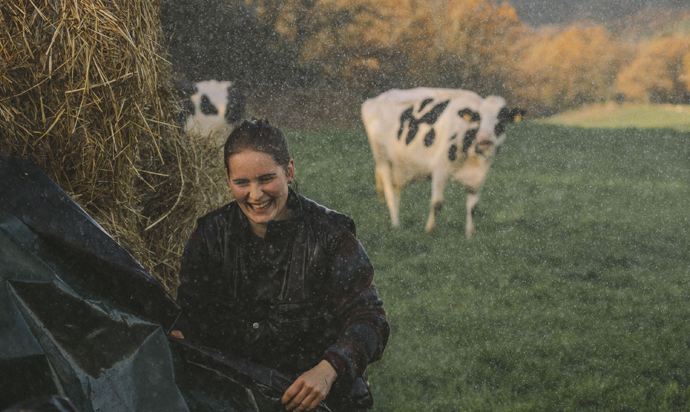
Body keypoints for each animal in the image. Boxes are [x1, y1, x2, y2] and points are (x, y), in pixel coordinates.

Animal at [360, 87, 520, 238]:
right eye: (478, 118)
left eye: (502, 119)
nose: (484, 139)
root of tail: (373, 100)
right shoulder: (440, 170)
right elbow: (437, 204)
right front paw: (429, 231)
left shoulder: (477, 178)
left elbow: (473, 208)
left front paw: (470, 234)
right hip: (382, 158)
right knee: (389, 193)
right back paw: (396, 225)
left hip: (399, 166)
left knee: (396, 190)